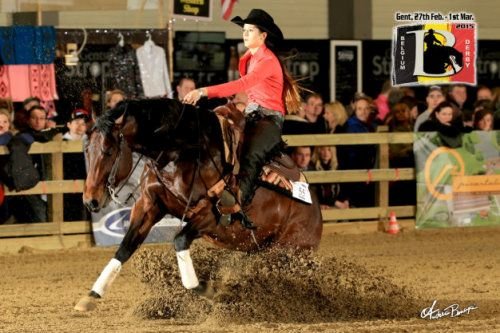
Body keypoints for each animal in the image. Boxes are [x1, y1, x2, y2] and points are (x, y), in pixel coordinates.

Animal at [75, 98, 324, 312]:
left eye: (108, 151)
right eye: (86, 150)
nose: (90, 200)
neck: (180, 150)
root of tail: (317, 214)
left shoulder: (210, 215)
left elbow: (179, 240)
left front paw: (207, 289)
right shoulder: (149, 205)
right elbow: (125, 247)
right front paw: (91, 296)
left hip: (290, 251)